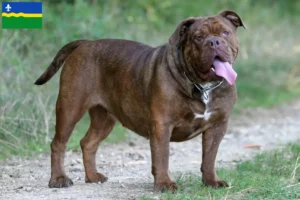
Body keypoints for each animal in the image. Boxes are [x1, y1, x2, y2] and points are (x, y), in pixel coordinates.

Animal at [35, 10, 245, 191]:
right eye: (198, 37)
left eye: (225, 32)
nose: (214, 42)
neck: (203, 86)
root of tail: (85, 43)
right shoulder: (162, 125)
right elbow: (162, 156)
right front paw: (164, 184)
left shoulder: (217, 126)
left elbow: (209, 157)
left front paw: (211, 181)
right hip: (70, 108)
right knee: (58, 144)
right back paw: (58, 179)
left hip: (104, 118)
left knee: (88, 143)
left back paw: (93, 176)